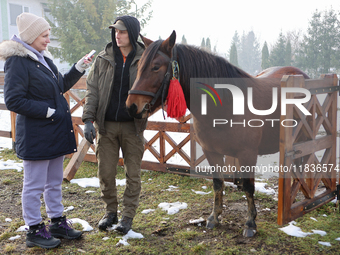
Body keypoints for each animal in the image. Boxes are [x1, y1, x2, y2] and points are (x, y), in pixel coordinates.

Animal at [125, 31, 308, 237]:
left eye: (156, 67)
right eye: (139, 66)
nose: (131, 106)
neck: (226, 106)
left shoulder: (247, 154)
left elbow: (248, 186)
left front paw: (250, 223)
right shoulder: (211, 152)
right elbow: (218, 183)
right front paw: (214, 217)